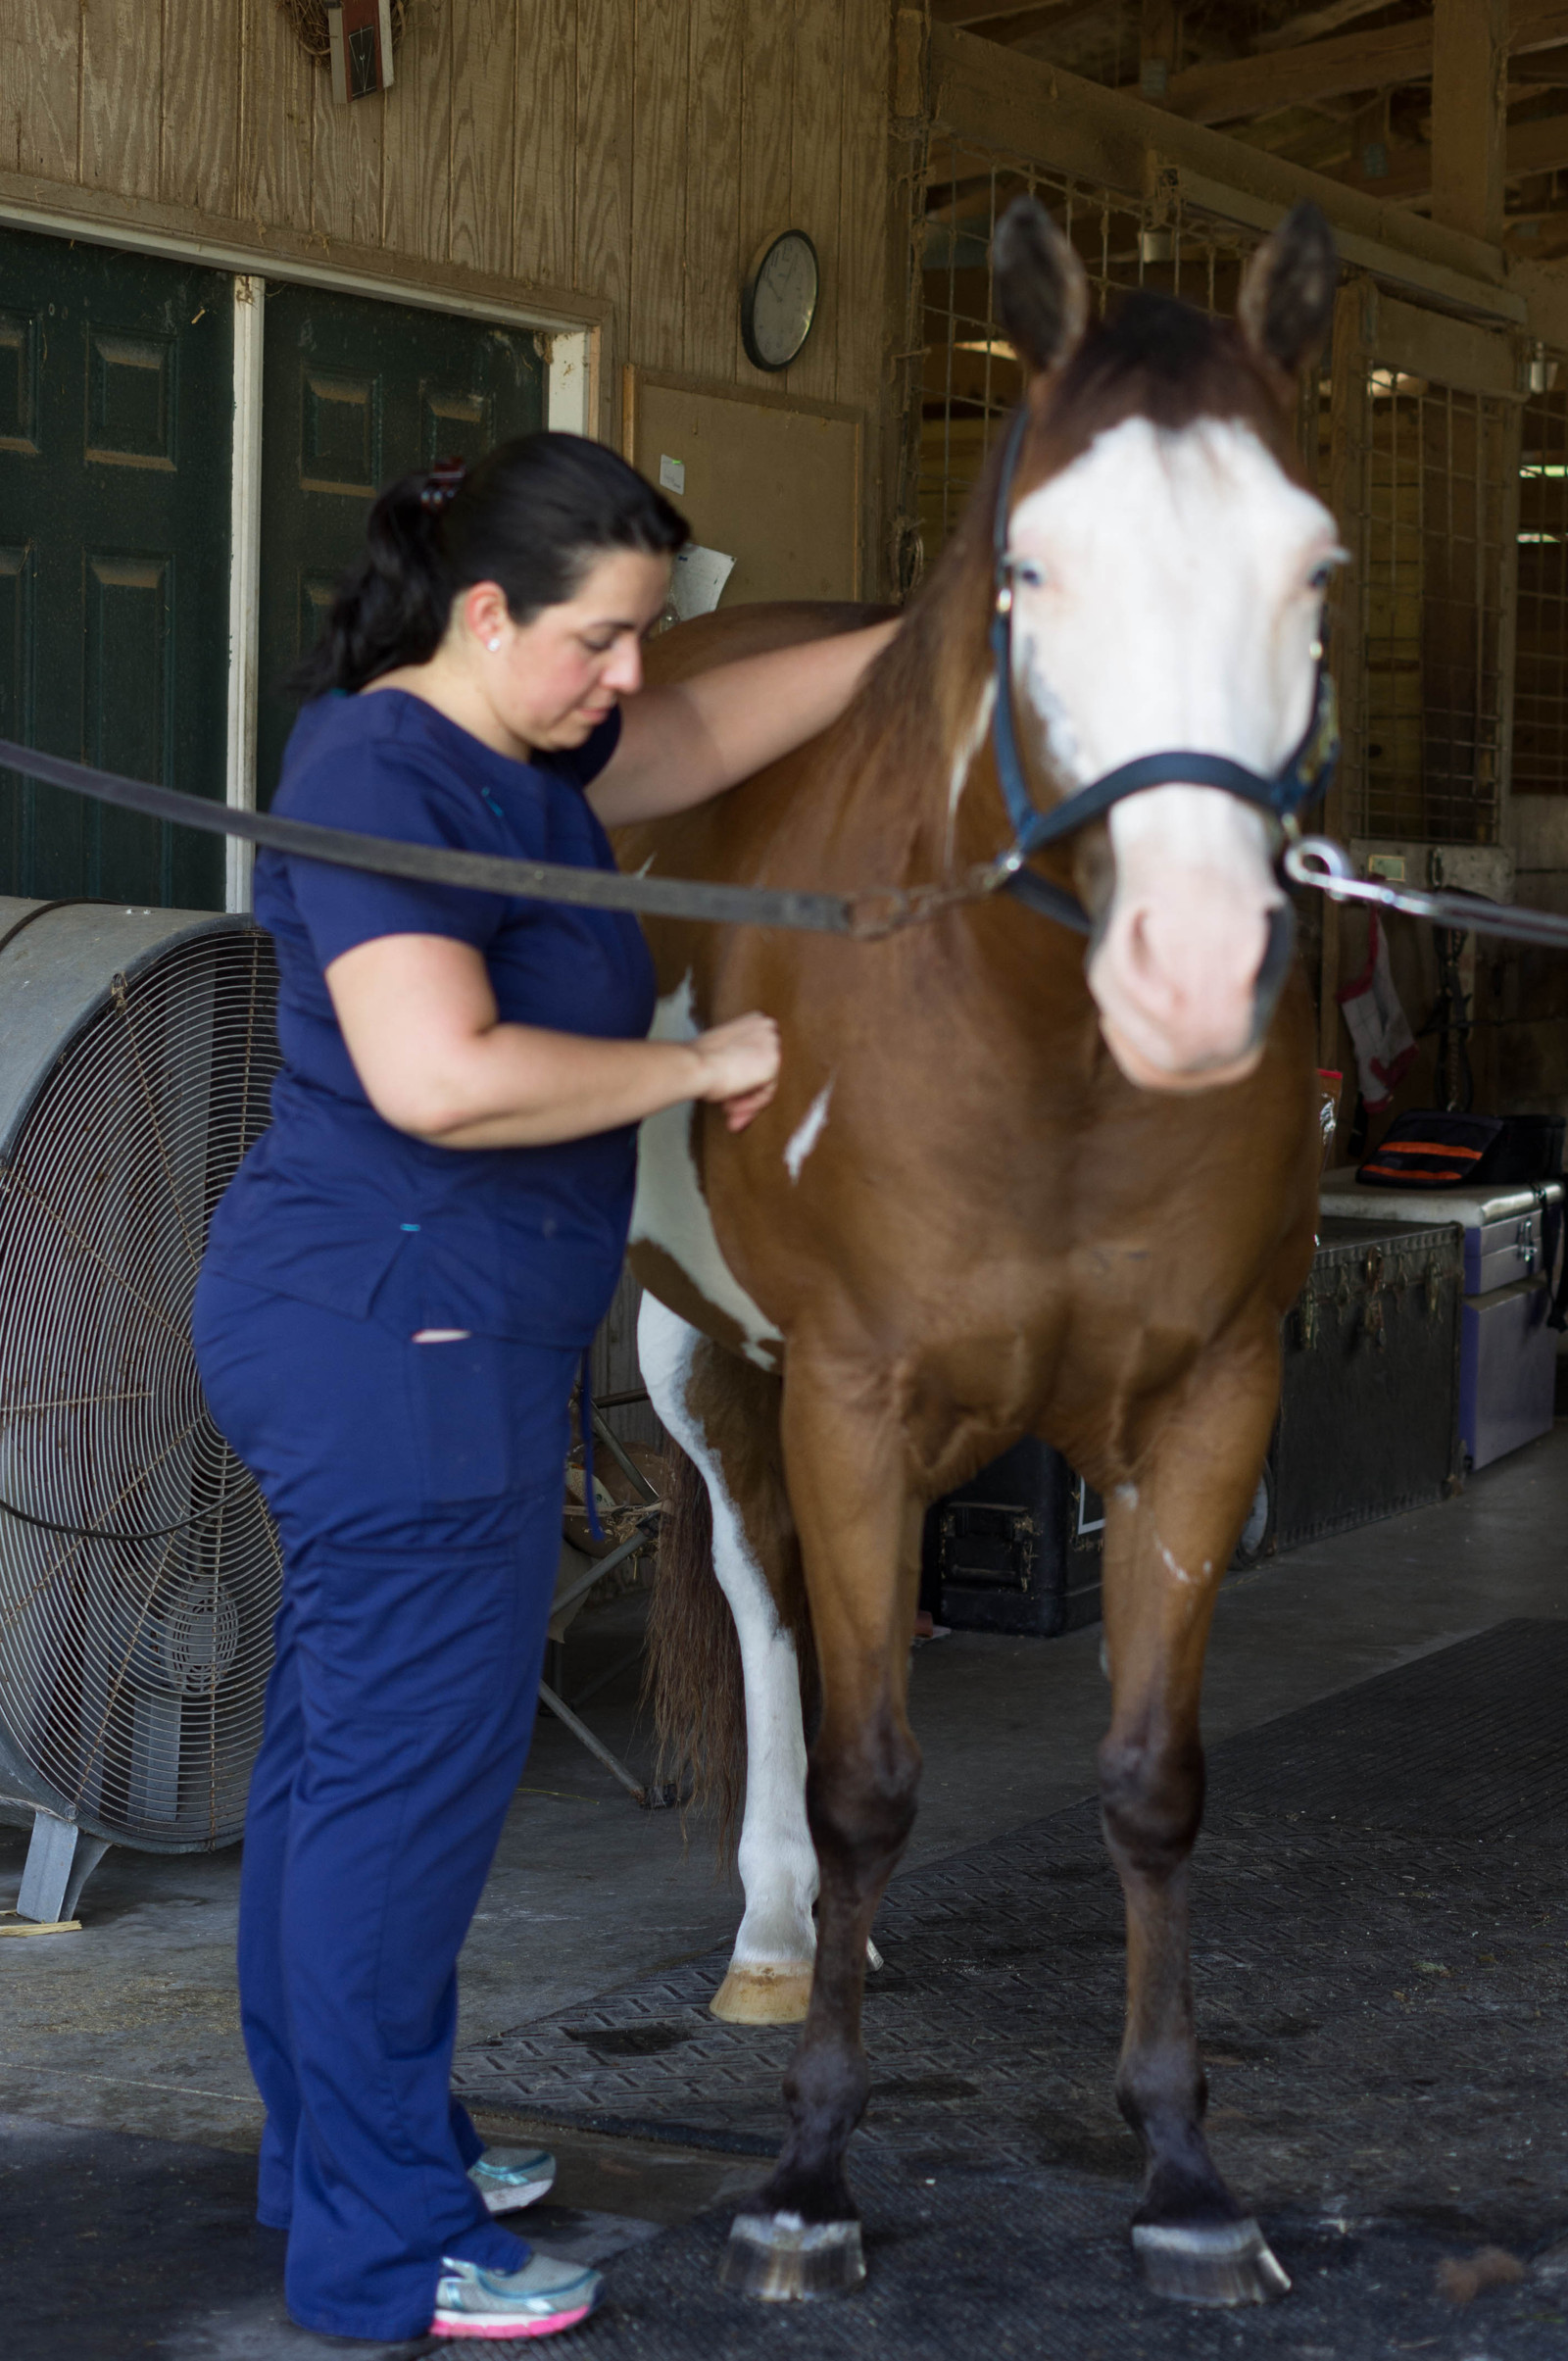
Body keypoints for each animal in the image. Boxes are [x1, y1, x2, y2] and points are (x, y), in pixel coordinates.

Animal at [619, 196, 1340, 2308]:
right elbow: (860, 1765)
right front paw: (809, 2175)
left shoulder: (1211, 1399)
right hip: (704, 1356)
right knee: (765, 1604)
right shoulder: (854, 1395)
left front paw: (1184, 2167)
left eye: (1313, 567)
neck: (1036, 1053)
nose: (1191, 973)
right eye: (1031, 564)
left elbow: (1151, 1780)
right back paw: (783, 1935)